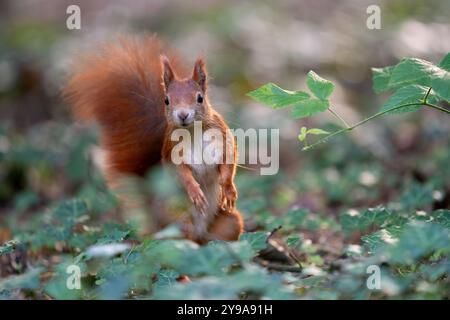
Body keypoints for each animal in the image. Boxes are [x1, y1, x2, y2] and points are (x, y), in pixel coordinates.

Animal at [63, 35, 243, 242]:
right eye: (166, 100)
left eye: (200, 98)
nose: (182, 115)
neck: (193, 132)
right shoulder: (171, 151)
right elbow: (180, 172)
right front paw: (194, 191)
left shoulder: (222, 137)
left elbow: (229, 162)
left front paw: (228, 190)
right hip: (176, 222)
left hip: (229, 223)